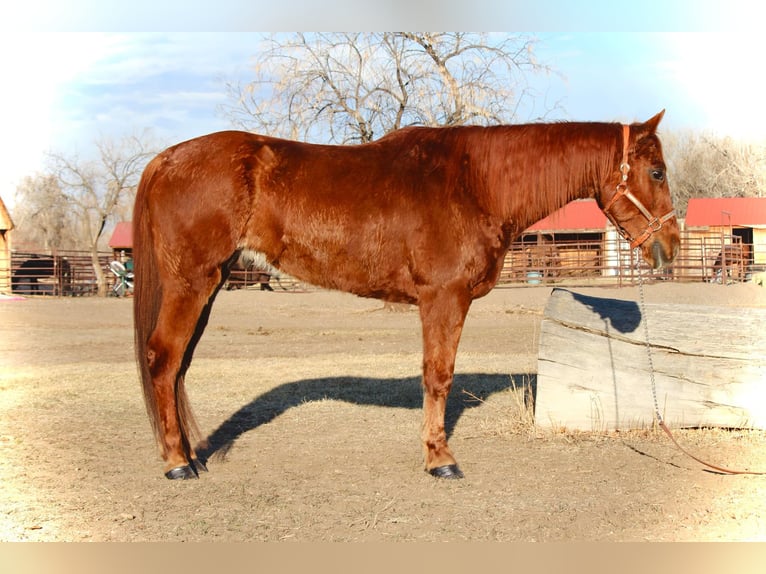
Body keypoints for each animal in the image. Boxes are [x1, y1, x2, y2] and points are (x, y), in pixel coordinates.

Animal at [133, 111, 680, 480]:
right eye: (656, 172)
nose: (672, 246)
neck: (475, 182)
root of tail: (166, 159)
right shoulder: (444, 299)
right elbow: (438, 377)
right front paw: (440, 459)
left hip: (210, 284)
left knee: (178, 367)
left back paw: (188, 454)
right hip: (192, 283)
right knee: (164, 359)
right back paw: (178, 463)